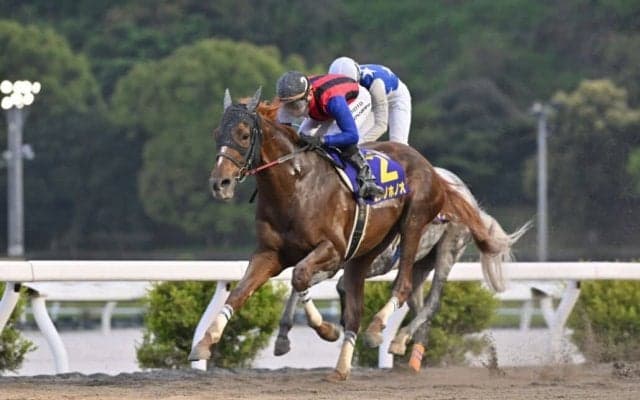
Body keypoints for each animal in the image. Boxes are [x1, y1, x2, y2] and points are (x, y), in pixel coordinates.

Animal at [273, 167, 531, 371]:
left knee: (432, 303)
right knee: (417, 303)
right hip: (420, 262)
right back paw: (410, 355)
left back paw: (400, 339)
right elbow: (301, 283)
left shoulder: (368, 262)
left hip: (448, 250)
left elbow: (331, 285)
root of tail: (471, 201)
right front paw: (284, 337)